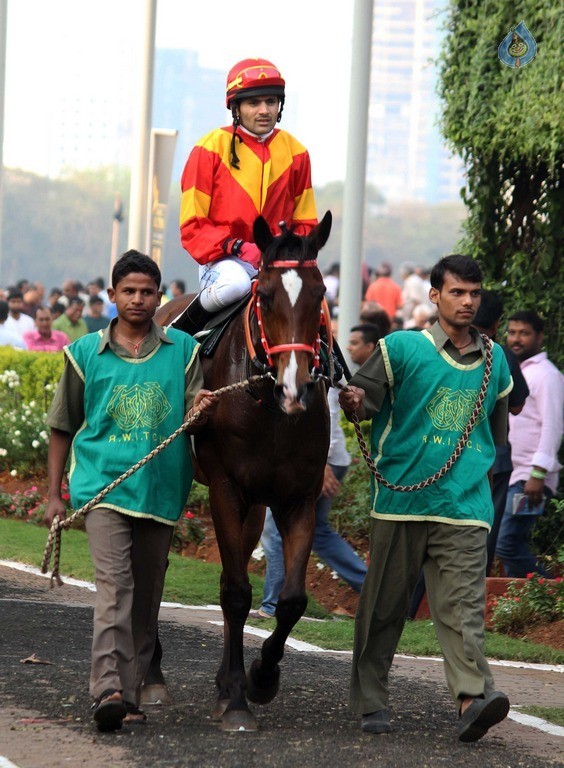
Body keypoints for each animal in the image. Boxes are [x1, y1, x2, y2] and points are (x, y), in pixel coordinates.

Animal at [154, 212, 332, 732]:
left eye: (320, 294)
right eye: (266, 295)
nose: (296, 387)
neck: (268, 408)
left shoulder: (297, 496)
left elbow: (291, 600)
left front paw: (260, 678)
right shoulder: (225, 490)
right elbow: (235, 592)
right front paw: (236, 699)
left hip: (255, 506)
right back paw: (153, 673)